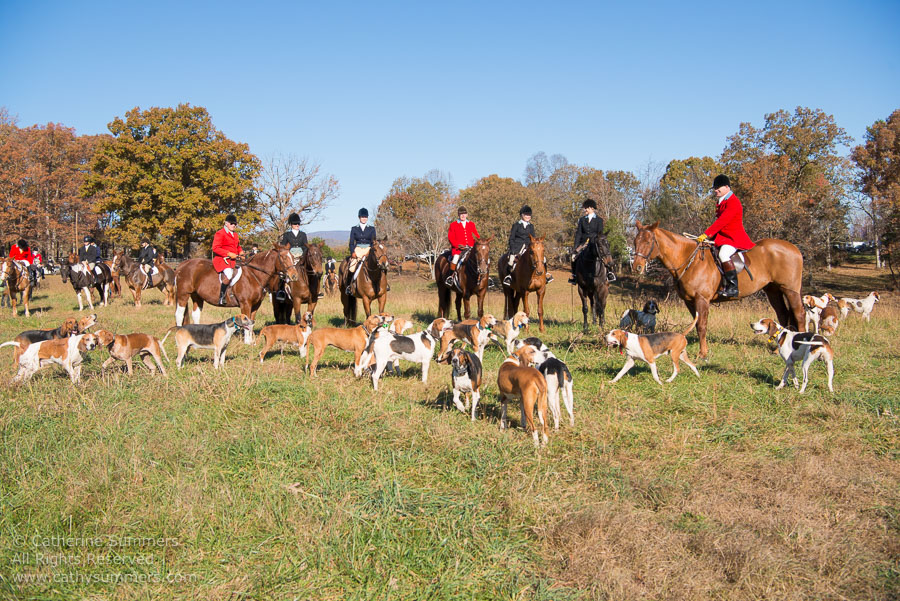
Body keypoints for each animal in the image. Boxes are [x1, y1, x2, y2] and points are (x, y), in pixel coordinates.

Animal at [628, 223, 804, 358]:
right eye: (636, 241)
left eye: (648, 241)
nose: (636, 267)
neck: (689, 261)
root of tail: (794, 248)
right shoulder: (690, 301)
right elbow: (697, 325)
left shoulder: (702, 300)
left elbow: (702, 326)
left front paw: (702, 354)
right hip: (773, 290)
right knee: (782, 315)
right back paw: (777, 350)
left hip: (790, 290)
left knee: (799, 314)